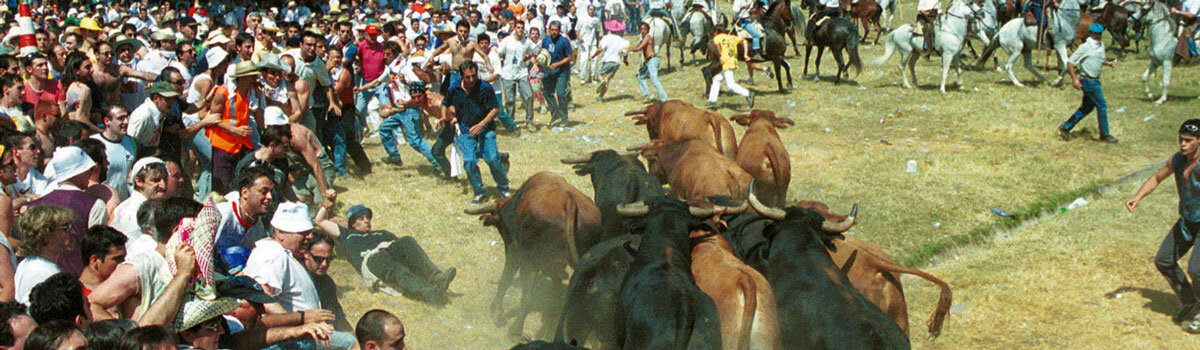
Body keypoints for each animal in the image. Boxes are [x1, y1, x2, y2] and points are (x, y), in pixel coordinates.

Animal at [463, 171, 604, 338]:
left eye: (501, 226)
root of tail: (569, 201)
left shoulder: (515, 252)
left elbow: (506, 278)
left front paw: (497, 311)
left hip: (531, 261)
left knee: (527, 296)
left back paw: (515, 329)